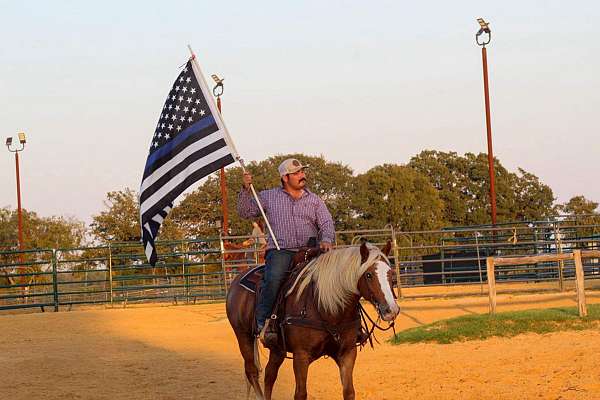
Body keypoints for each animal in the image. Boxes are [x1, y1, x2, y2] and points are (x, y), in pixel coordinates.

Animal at [227, 242, 400, 398]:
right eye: (369, 275)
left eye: (390, 273)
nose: (391, 310)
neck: (327, 308)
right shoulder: (301, 356)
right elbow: (300, 393)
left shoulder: (347, 353)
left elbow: (349, 392)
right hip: (243, 335)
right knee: (252, 371)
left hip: (277, 348)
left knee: (270, 375)